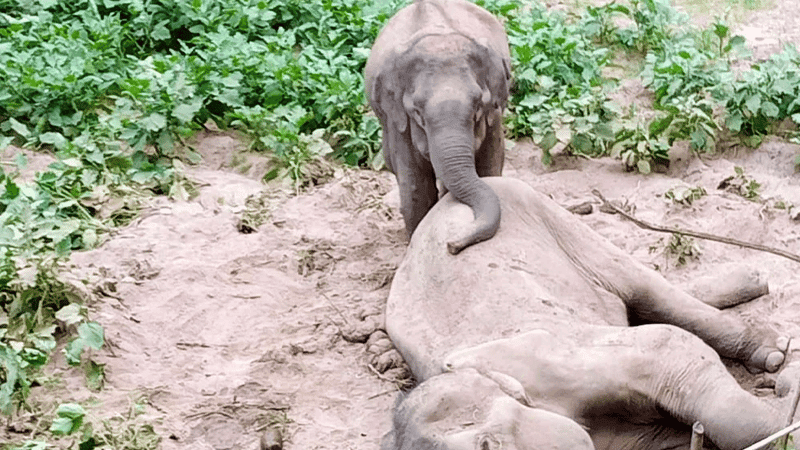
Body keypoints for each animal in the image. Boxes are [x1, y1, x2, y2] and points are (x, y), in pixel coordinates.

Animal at [365, 0, 511, 254]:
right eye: (417, 113)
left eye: (478, 106)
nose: (452, 244)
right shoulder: (398, 121)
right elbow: (416, 188)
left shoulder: (494, 115)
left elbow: (489, 166)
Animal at [382, 177, 790, 450]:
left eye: (489, 445)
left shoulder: (557, 357)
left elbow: (669, 345)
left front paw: (785, 401)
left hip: (549, 214)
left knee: (643, 287)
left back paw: (772, 347)